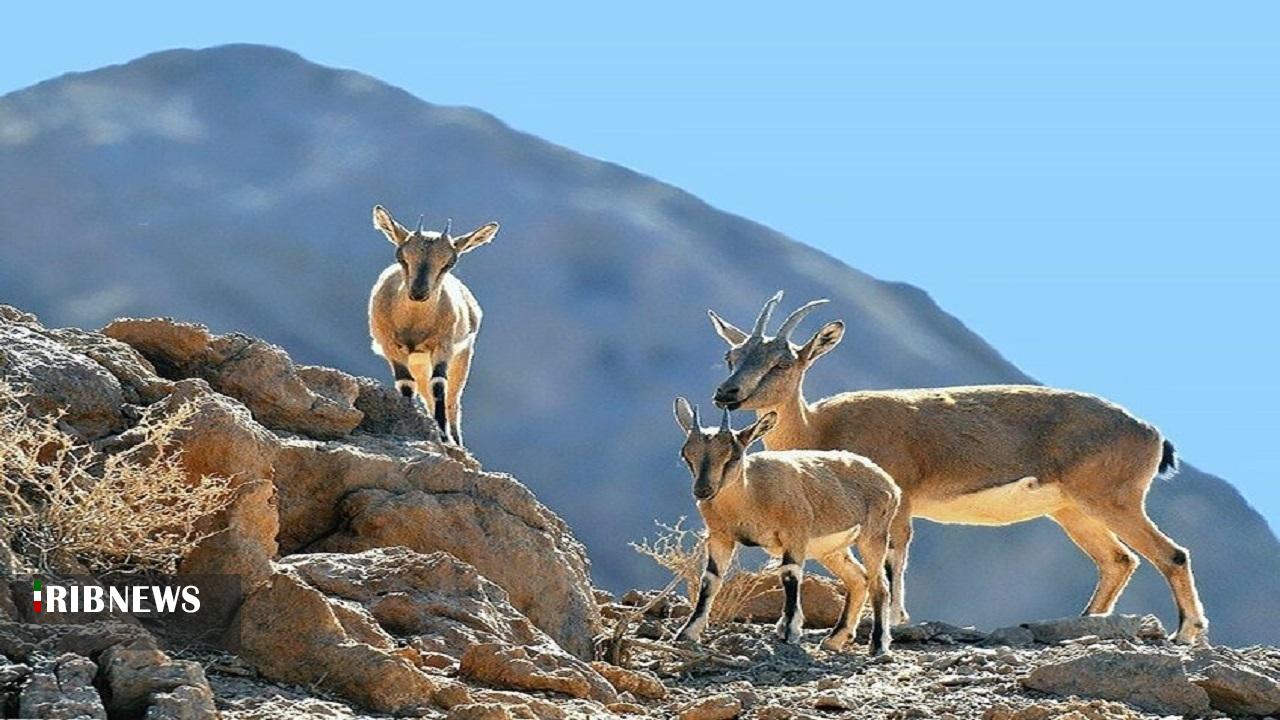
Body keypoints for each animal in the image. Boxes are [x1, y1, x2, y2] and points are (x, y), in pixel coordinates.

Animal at [368, 202, 496, 443]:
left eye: (449, 263)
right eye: (401, 257)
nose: (418, 293)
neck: (413, 324)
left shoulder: (443, 345)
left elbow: (438, 384)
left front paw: (443, 435)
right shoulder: (390, 346)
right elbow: (406, 384)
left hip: (462, 355)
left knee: (453, 399)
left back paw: (455, 438)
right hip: (419, 361)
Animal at [670, 394, 901, 653]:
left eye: (733, 456)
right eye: (687, 455)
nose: (703, 491)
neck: (751, 495)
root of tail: (889, 483)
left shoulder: (795, 534)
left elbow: (790, 575)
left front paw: (789, 631)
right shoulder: (721, 536)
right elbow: (709, 580)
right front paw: (687, 632)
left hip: (874, 535)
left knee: (879, 585)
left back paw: (878, 645)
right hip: (832, 549)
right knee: (858, 579)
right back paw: (835, 639)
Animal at [706, 289, 1203, 638]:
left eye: (781, 363)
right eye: (732, 355)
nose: (726, 393)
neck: (820, 429)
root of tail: (1151, 433)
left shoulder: (899, 500)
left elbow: (893, 557)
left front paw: (895, 620)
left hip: (1113, 501)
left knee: (1171, 554)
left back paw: (1186, 635)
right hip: (1071, 511)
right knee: (1119, 561)